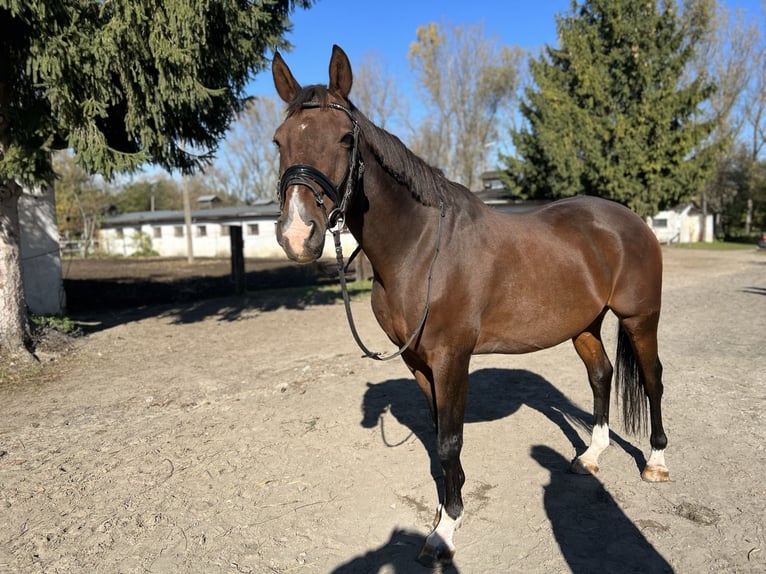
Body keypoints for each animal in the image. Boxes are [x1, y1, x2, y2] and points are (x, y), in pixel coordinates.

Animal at [272, 46, 668, 568]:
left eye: (343, 137)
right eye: (279, 141)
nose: (298, 235)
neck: (421, 248)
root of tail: (632, 221)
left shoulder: (451, 359)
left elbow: (449, 441)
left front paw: (445, 531)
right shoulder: (419, 363)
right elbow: (438, 438)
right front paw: (445, 509)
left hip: (640, 319)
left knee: (652, 379)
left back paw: (657, 461)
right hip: (584, 324)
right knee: (601, 375)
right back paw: (590, 457)